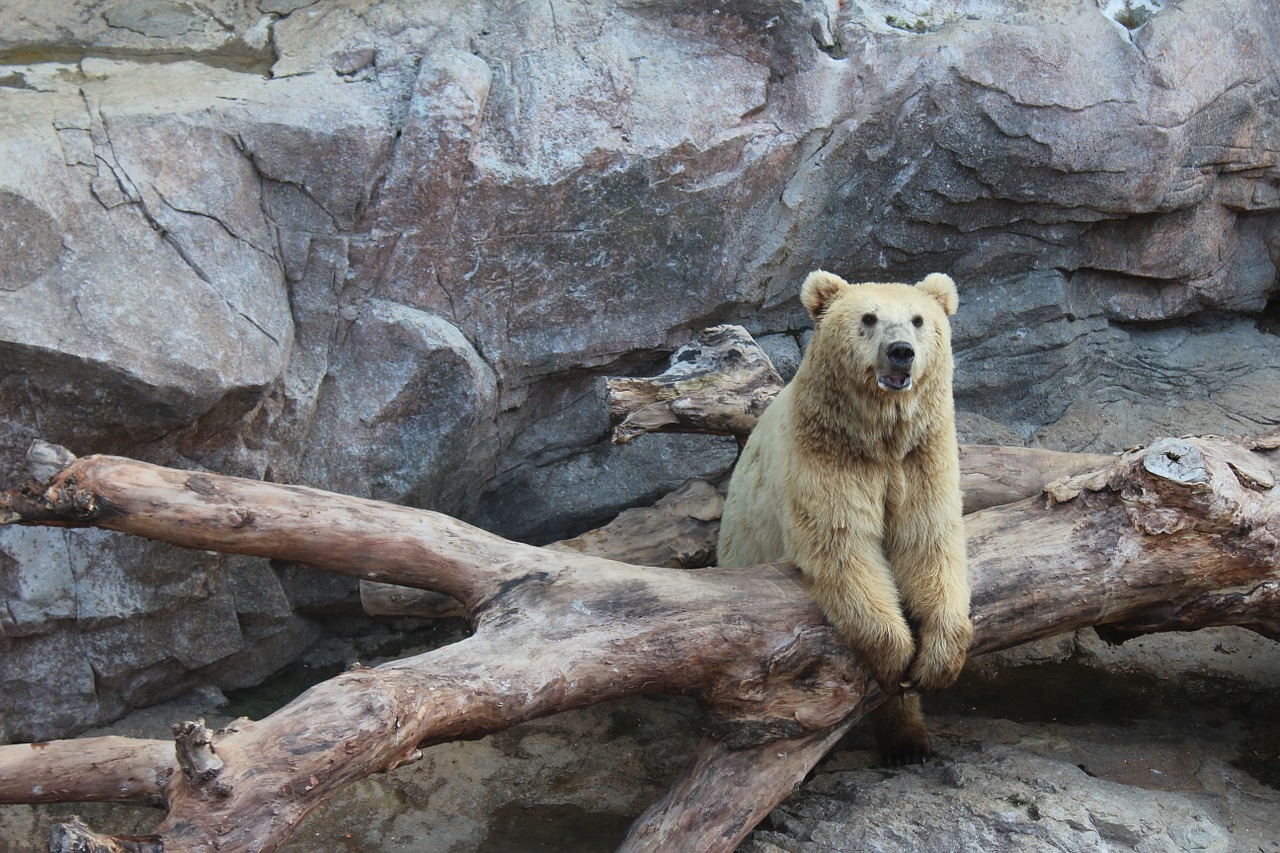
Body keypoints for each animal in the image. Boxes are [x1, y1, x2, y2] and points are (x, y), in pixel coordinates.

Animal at [721, 267, 967, 763]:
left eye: (918, 320)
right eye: (869, 318)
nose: (901, 352)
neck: (879, 437)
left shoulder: (922, 455)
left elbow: (929, 540)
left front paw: (937, 661)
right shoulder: (828, 452)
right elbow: (843, 545)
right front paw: (897, 657)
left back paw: (908, 741)